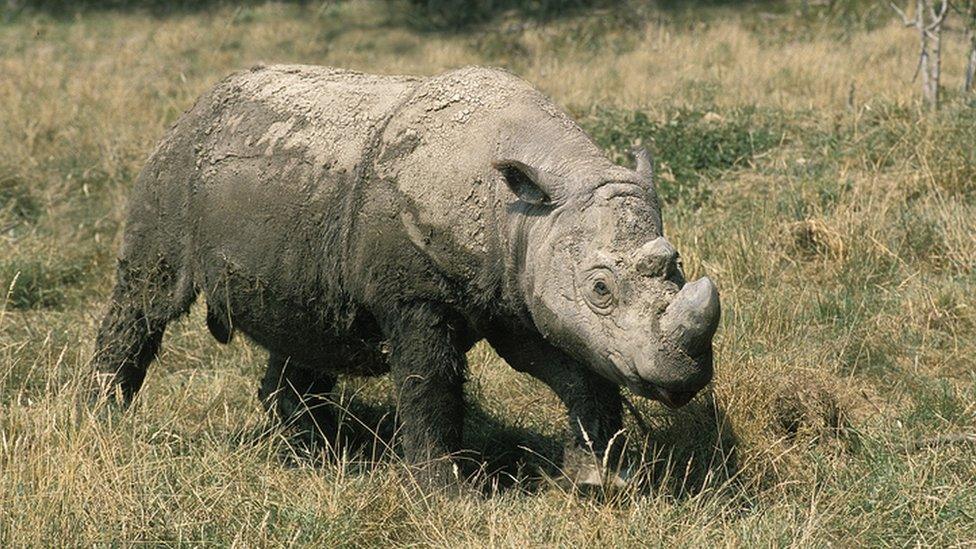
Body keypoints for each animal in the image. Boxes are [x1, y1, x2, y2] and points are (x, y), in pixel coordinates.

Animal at [91, 63, 720, 484]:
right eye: (600, 289)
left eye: (677, 268)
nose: (682, 376)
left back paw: (311, 454)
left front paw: (598, 484)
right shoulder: (418, 294)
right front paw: (445, 492)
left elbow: (577, 369)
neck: (529, 203)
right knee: (147, 295)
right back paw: (102, 420)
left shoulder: (519, 284)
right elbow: (430, 381)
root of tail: (198, 102)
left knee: (306, 323)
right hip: (175, 168)